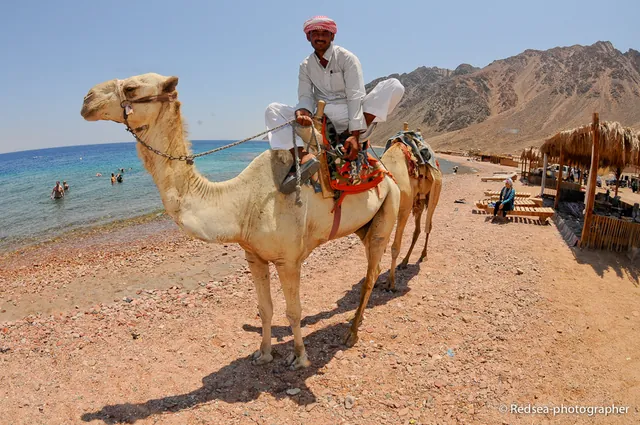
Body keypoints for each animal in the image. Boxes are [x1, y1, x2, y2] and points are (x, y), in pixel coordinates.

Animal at [80, 73, 400, 369]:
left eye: (131, 88)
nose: (87, 99)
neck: (241, 202)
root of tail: (384, 172)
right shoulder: (253, 256)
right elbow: (265, 308)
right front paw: (264, 353)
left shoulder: (288, 260)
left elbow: (293, 311)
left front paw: (300, 357)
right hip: (363, 225)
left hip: (389, 208)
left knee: (371, 273)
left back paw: (352, 332)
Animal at [379, 134, 443, 290]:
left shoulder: (404, 210)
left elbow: (395, 247)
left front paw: (390, 283)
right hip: (418, 202)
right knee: (417, 229)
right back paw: (404, 262)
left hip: (432, 196)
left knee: (428, 226)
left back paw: (423, 255)